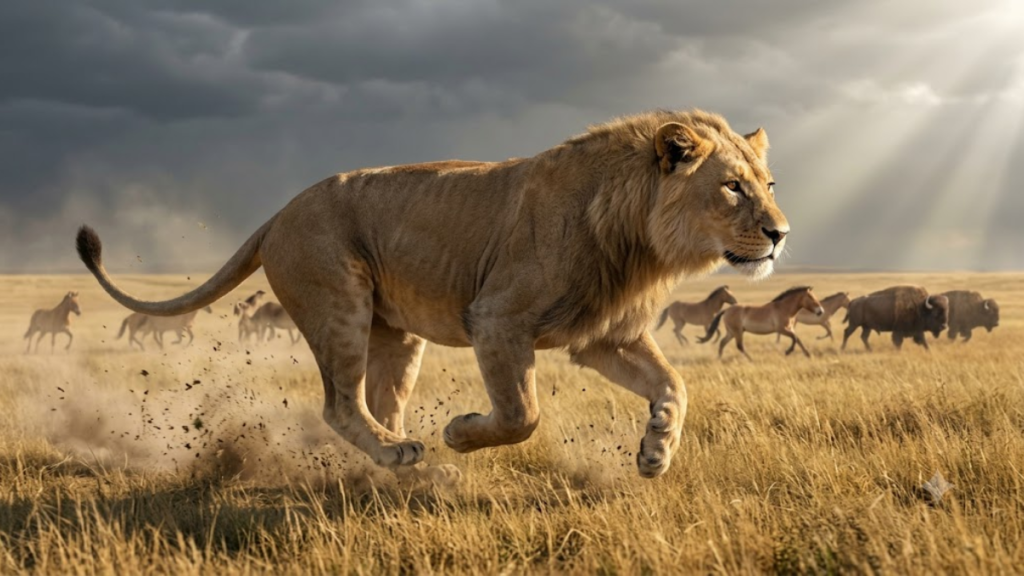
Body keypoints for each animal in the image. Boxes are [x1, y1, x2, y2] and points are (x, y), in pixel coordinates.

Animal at [75, 109, 789, 483]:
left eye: (769, 183)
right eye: (732, 187)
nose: (781, 234)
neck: (639, 239)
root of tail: (278, 213)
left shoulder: (602, 336)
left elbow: (674, 384)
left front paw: (656, 450)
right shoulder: (497, 319)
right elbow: (522, 413)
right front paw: (461, 433)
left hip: (397, 335)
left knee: (377, 402)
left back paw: (401, 469)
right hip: (339, 304)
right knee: (340, 404)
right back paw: (404, 454)